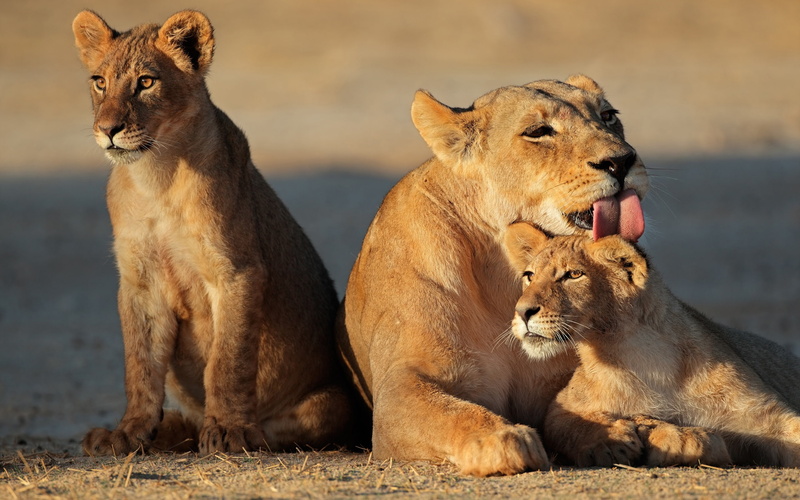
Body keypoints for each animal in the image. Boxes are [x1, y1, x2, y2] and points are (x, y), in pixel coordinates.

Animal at [72, 10, 354, 455]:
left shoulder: (237, 271)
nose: (108, 129)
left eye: (146, 82)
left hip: (335, 402)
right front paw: (127, 432)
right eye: (100, 81)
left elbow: (228, 359)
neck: (156, 177)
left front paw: (228, 430)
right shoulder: (139, 281)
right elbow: (140, 365)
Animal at [336, 75, 649, 475]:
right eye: (538, 131)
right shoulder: (400, 388)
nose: (622, 161)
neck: (504, 276)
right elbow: (450, 413)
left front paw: (609, 435)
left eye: (608, 116)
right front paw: (502, 438)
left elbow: (574, 404)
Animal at [503, 222, 800, 467]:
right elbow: (571, 423)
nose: (522, 312)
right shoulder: (563, 404)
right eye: (529, 275)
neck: (647, 358)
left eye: (574, 275)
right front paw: (610, 442)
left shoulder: (767, 417)